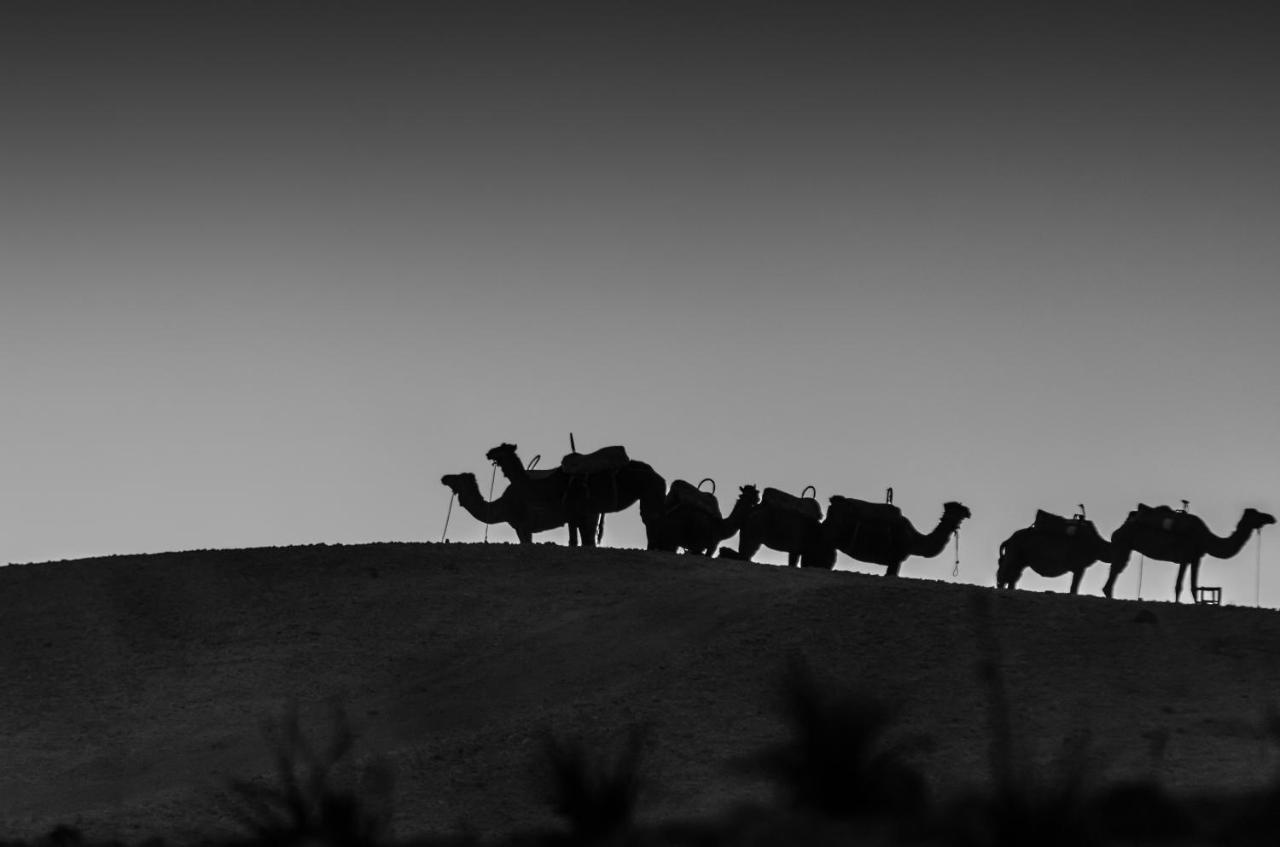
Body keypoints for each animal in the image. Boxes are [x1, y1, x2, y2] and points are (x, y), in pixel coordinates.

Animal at [486, 445, 670, 550]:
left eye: (501, 448)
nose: (488, 453)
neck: (548, 486)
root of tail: (658, 475)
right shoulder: (575, 514)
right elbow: (580, 539)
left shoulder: (575, 511)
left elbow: (578, 540)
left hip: (650, 490)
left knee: (651, 517)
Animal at [819, 498, 967, 578]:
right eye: (959, 510)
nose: (968, 513)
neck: (914, 540)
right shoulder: (896, 558)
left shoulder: (895, 560)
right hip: (830, 538)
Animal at [993, 511, 1126, 596]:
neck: (1096, 544)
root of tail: (1008, 540)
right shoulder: (1080, 566)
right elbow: (1074, 588)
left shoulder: (1080, 567)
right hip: (1014, 555)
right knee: (1004, 575)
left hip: (1020, 561)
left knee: (1012, 578)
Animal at [1095, 504, 1274, 603]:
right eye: (1257, 514)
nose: (1271, 518)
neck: (1205, 537)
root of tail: (1119, 529)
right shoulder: (1185, 557)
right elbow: (1179, 586)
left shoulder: (1195, 559)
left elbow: (1194, 586)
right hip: (1123, 545)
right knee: (1114, 573)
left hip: (1125, 547)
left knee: (1114, 573)